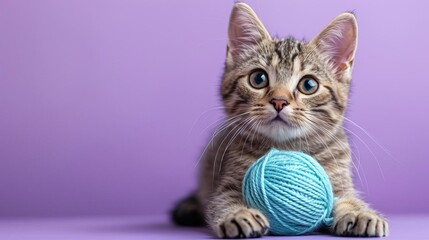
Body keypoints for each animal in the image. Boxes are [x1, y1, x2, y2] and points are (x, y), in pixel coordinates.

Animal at [171, 2, 388, 238]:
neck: (287, 147)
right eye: (258, 79)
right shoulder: (227, 182)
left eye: (308, 85)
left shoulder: (339, 181)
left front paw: (359, 213)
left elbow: (349, 199)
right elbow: (223, 200)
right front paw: (239, 214)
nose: (279, 101)